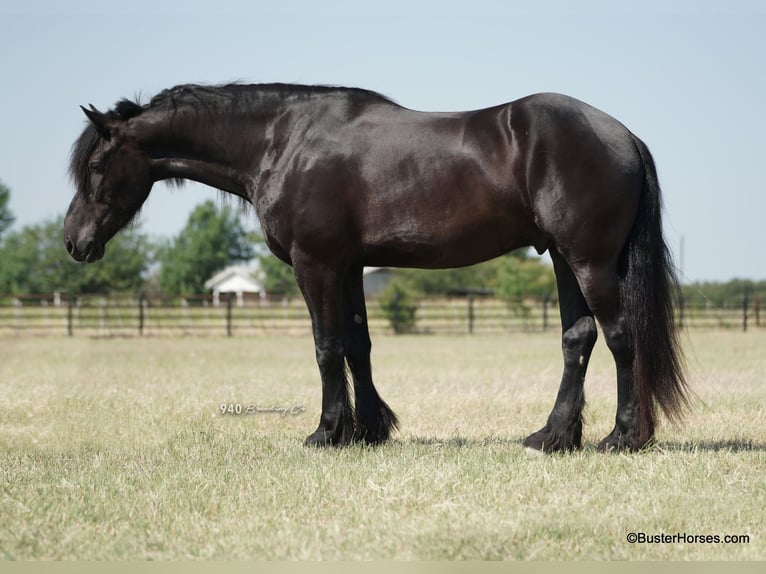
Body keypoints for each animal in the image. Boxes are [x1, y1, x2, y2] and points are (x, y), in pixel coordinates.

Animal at [66, 84, 688, 454]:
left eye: (95, 166)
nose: (74, 242)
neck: (282, 141)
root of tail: (623, 134)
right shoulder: (349, 266)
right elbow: (357, 345)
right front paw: (367, 429)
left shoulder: (315, 263)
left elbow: (325, 346)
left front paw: (326, 431)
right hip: (561, 257)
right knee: (578, 337)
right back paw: (552, 435)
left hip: (587, 260)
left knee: (620, 336)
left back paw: (622, 436)